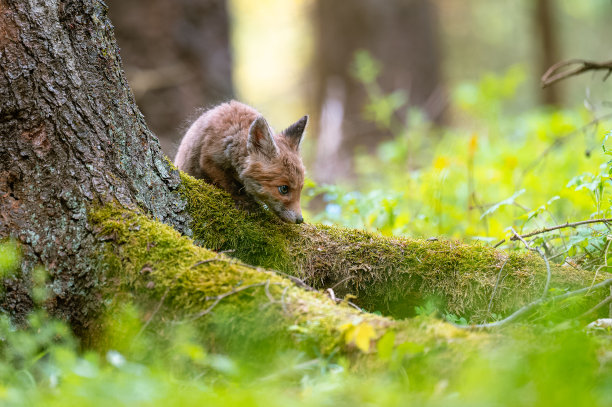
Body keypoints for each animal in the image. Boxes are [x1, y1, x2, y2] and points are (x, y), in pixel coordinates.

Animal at [175, 101, 308, 225]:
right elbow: (228, 183)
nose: (300, 220)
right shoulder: (208, 159)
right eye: (284, 189)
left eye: (301, 188)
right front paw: (245, 201)